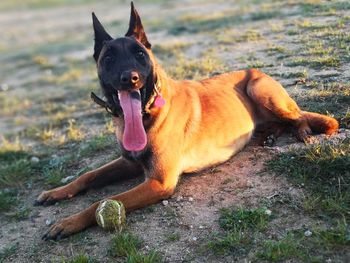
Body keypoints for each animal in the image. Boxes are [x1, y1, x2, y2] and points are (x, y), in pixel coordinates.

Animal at [36, 2, 340, 241]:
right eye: (108, 57)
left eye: (140, 54)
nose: (130, 78)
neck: (148, 113)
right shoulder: (129, 162)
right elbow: (88, 175)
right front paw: (56, 192)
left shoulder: (159, 182)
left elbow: (104, 199)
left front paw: (69, 222)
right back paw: (270, 135)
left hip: (261, 90)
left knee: (300, 117)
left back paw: (301, 132)